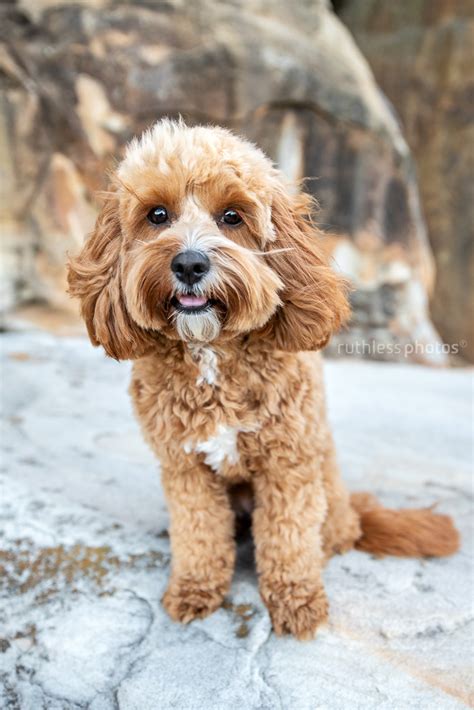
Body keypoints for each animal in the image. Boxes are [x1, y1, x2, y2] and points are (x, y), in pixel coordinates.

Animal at [67, 119, 460, 644]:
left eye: (232, 216)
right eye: (157, 215)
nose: (189, 264)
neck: (212, 354)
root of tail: (353, 510)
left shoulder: (288, 463)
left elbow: (288, 538)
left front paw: (297, 601)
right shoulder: (184, 467)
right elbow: (198, 531)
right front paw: (194, 588)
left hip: (324, 489)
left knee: (325, 535)